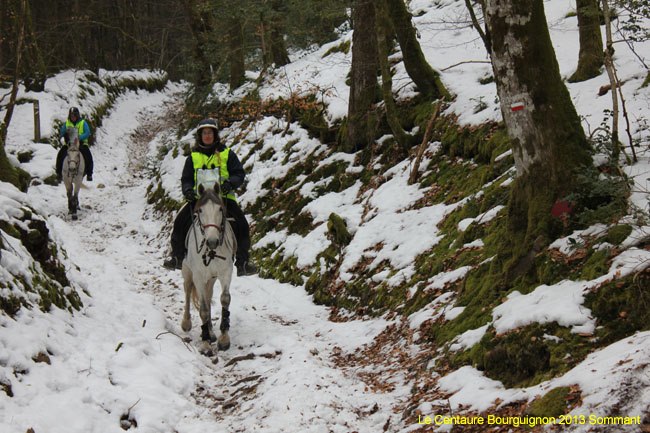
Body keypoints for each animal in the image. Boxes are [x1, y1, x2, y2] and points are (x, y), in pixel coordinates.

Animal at [181, 182, 237, 352]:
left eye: (220, 209)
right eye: (200, 210)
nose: (212, 241)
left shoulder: (225, 273)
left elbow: (224, 299)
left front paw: (224, 339)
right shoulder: (198, 276)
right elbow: (204, 310)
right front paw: (205, 344)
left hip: (211, 278)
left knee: (208, 294)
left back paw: (211, 332)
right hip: (187, 271)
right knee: (187, 291)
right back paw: (186, 323)